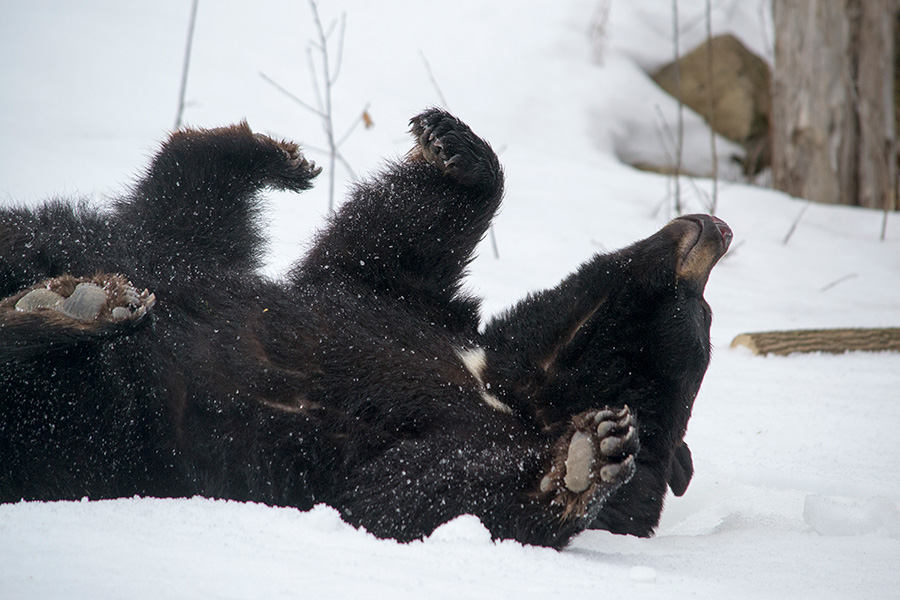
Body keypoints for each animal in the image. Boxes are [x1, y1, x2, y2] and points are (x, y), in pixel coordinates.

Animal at [0, 108, 732, 548]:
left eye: (704, 316)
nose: (718, 227)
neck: (518, 387)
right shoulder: (411, 310)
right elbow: (378, 249)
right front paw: (452, 143)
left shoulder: (410, 447)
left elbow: (404, 494)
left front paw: (589, 456)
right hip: (144, 257)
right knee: (181, 209)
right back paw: (267, 158)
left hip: (84, 434)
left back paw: (72, 309)